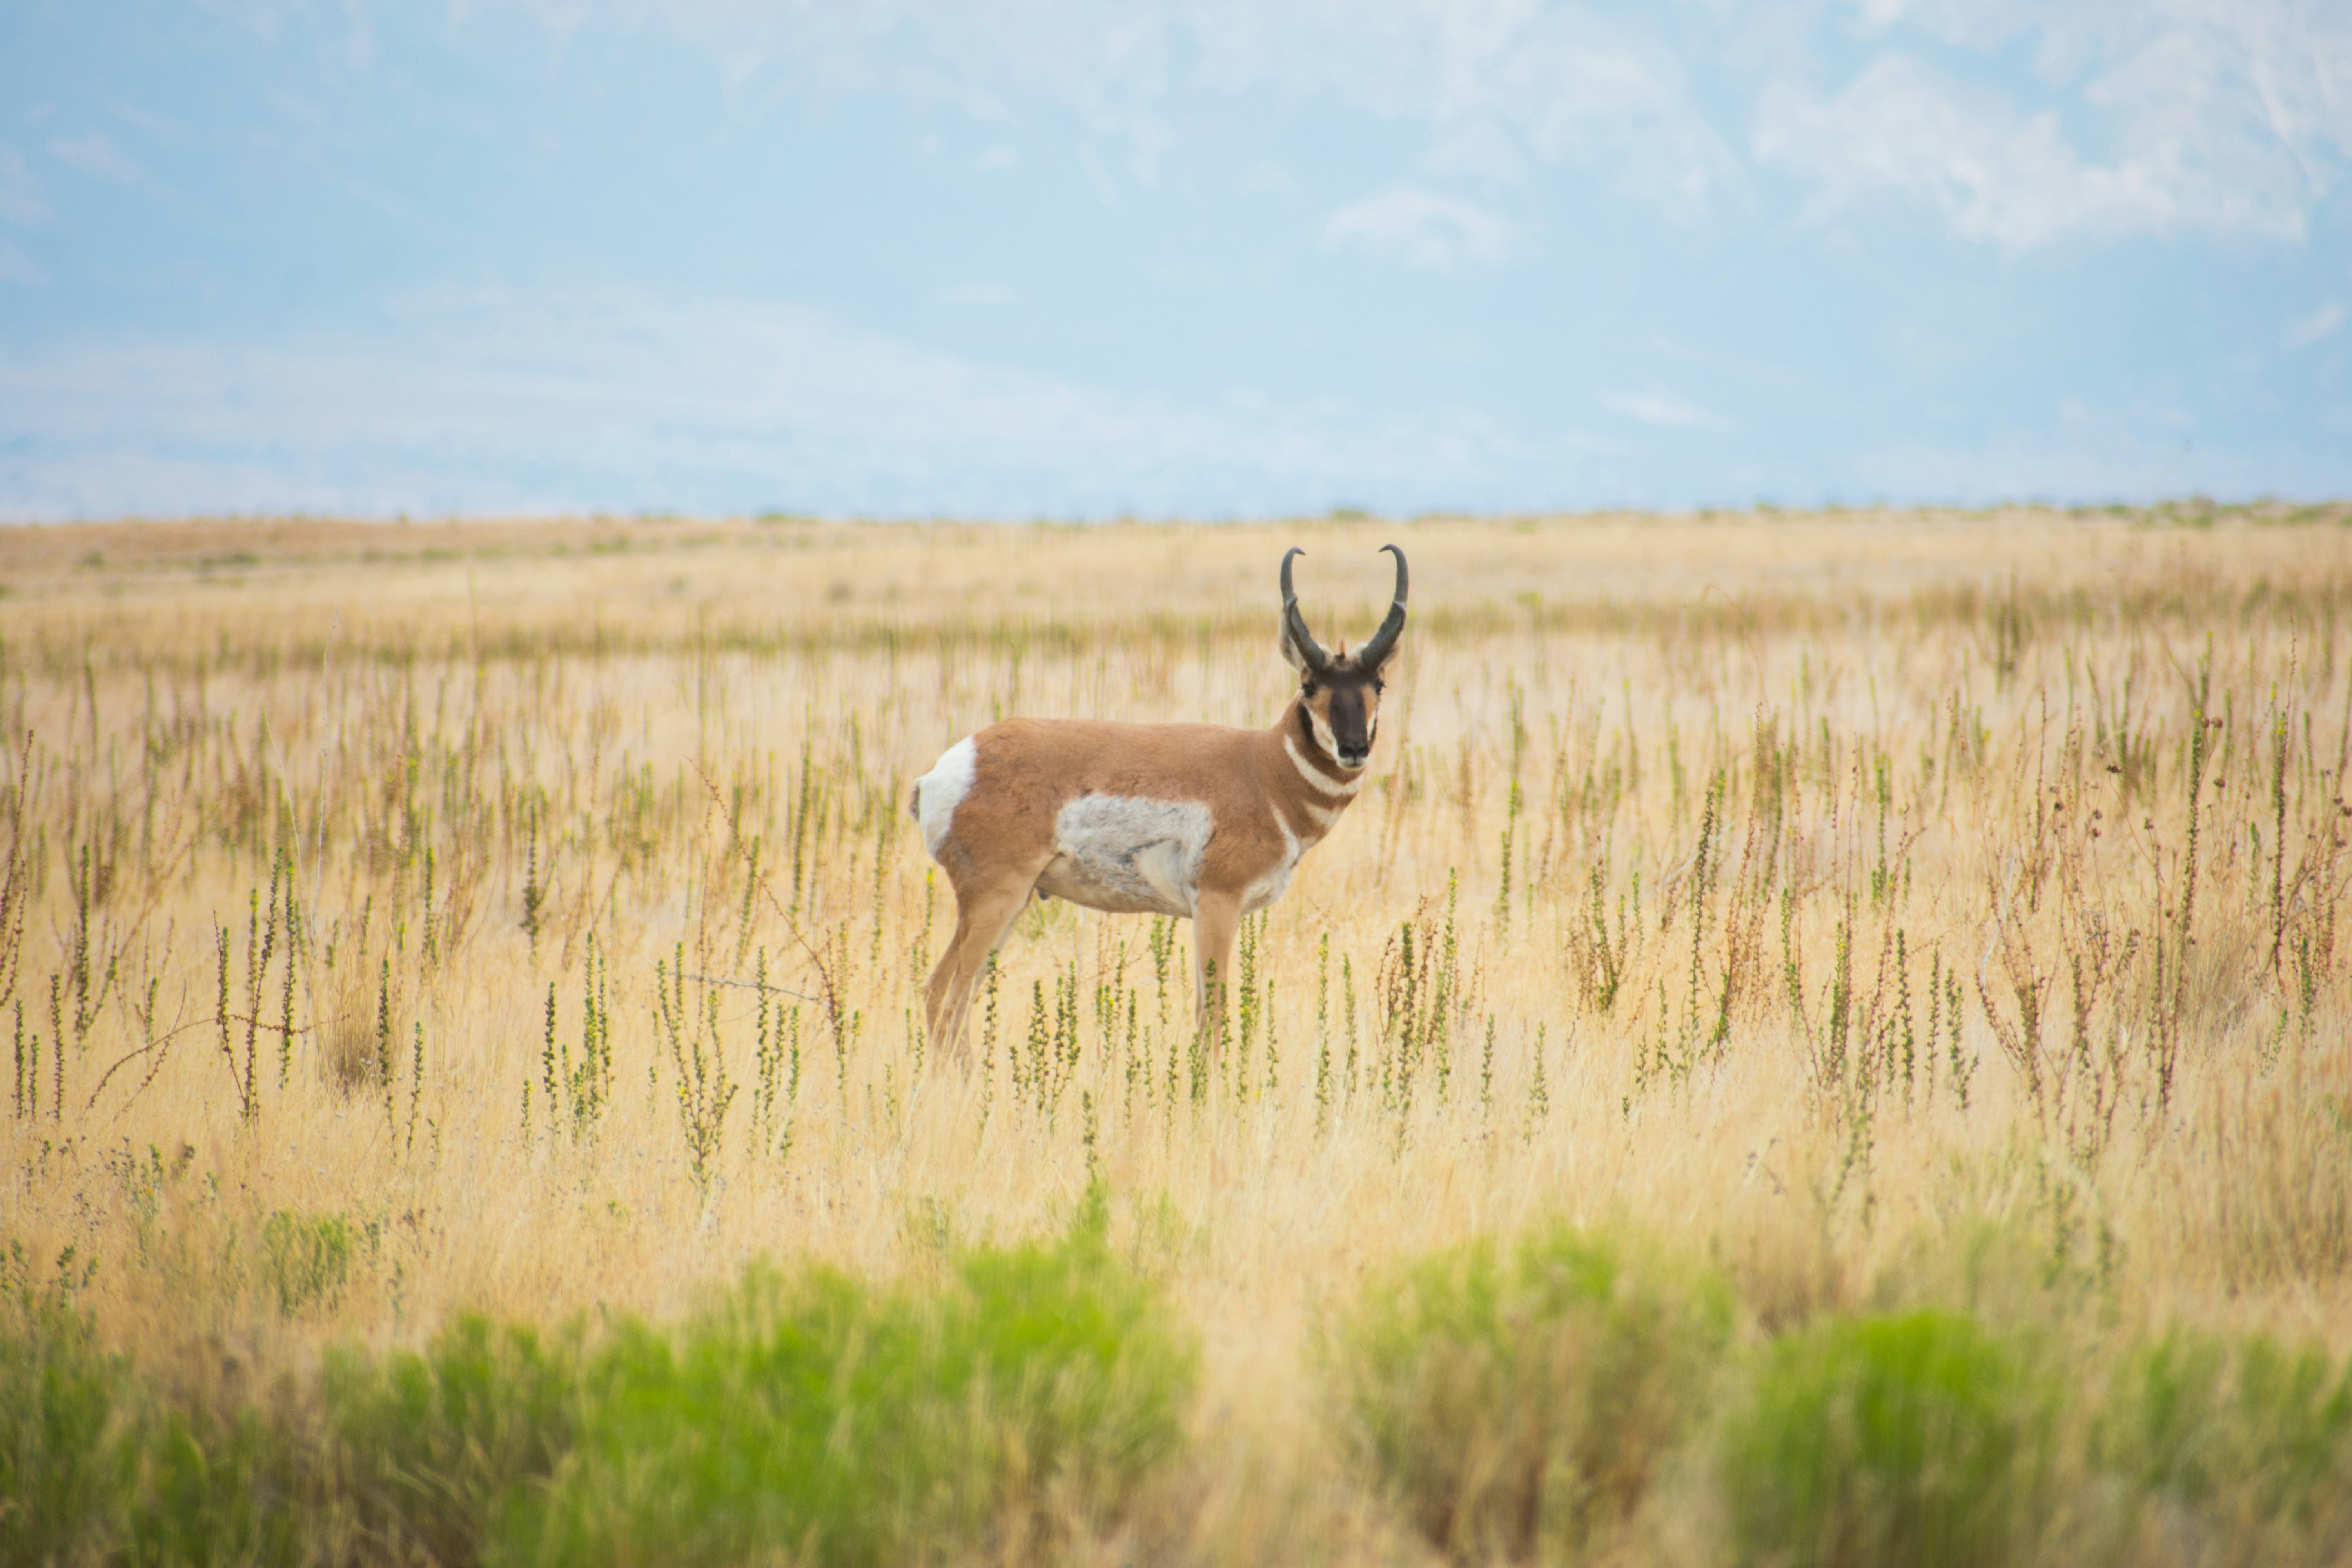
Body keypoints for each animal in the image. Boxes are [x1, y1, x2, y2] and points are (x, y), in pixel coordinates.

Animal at [908, 544, 1409, 1060]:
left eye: (1379, 684)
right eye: (1309, 684)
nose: (1354, 748)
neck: (1263, 769)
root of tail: (949, 767)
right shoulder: (1217, 903)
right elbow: (1213, 1017)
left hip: (1014, 903)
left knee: (950, 997)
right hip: (996, 899)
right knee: (945, 995)